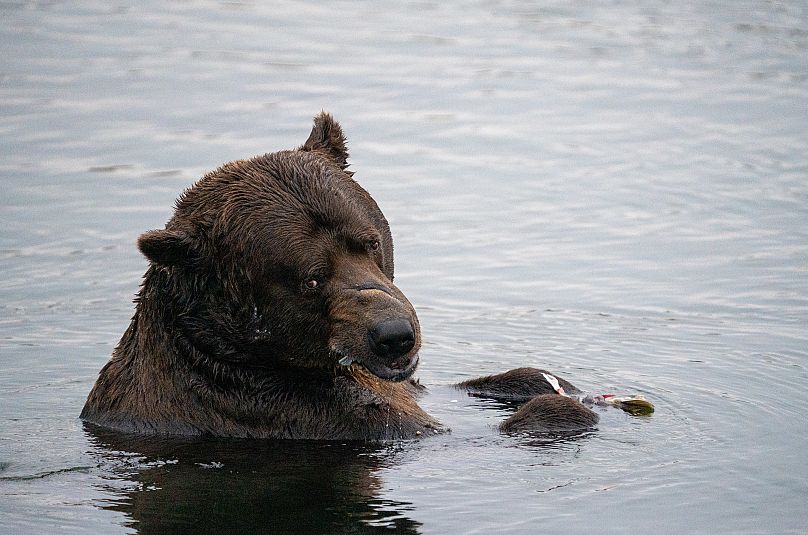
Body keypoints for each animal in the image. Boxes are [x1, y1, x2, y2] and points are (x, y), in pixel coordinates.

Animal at [82, 113, 596, 440]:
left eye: (369, 241)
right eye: (311, 277)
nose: (395, 335)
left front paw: (543, 381)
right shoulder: (291, 414)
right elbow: (440, 433)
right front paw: (560, 408)